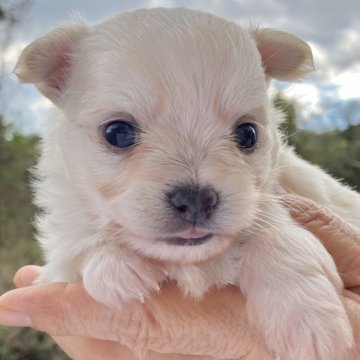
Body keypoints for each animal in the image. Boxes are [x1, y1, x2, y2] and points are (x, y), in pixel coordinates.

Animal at [14, 7, 360, 358]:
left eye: (247, 134)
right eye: (118, 133)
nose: (196, 200)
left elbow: (275, 231)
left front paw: (308, 317)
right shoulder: (60, 248)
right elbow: (73, 240)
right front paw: (112, 262)